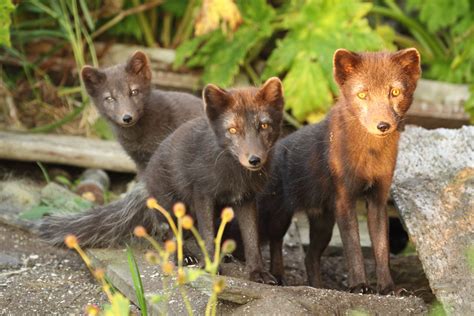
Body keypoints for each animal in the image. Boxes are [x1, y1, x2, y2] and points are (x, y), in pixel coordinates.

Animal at [144, 77, 286, 284]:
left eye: (264, 126)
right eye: (233, 129)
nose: (254, 160)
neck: (235, 175)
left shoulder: (246, 199)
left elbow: (252, 239)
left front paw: (257, 272)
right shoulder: (203, 194)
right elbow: (208, 233)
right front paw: (210, 267)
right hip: (174, 205)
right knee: (173, 233)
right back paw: (184, 256)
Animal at [258, 48, 420, 292]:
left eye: (395, 92)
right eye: (362, 95)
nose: (383, 125)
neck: (370, 155)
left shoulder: (378, 199)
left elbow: (382, 249)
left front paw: (388, 288)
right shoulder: (345, 199)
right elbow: (353, 247)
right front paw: (360, 285)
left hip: (323, 224)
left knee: (310, 257)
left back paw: (317, 287)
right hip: (281, 216)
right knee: (274, 242)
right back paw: (276, 277)